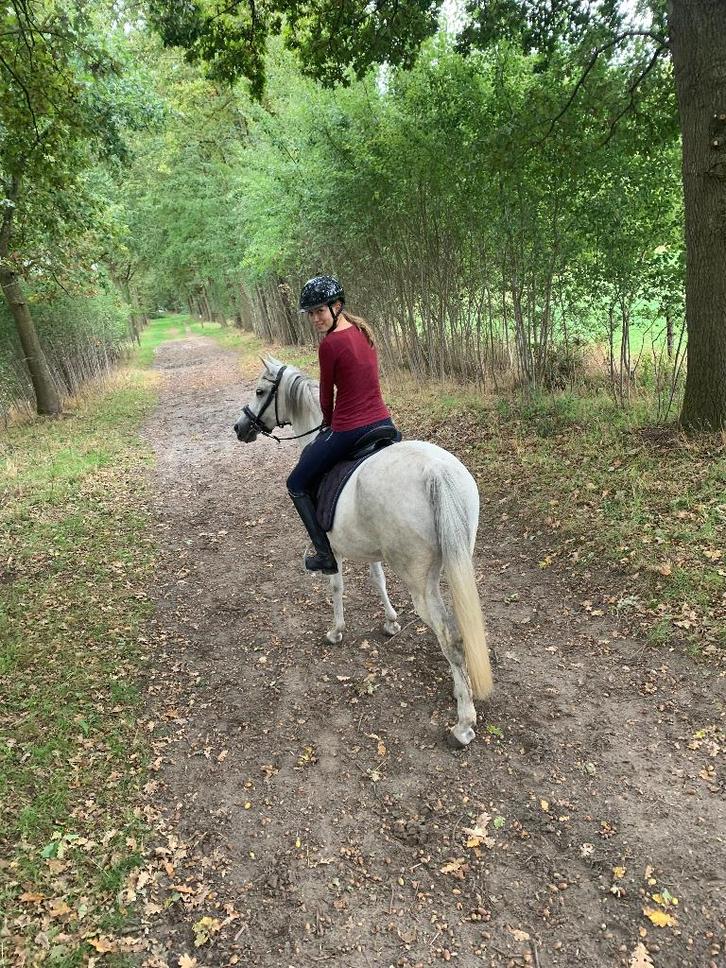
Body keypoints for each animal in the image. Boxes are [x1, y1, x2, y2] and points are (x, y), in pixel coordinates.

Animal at [233, 357, 493, 748]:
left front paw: (337, 631)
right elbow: (377, 579)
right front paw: (390, 621)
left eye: (261, 391)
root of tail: (436, 472)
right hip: (455, 558)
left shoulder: (334, 548)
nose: (240, 427)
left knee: (449, 634)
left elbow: (336, 585)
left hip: (420, 582)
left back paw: (463, 723)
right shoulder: (372, 546)